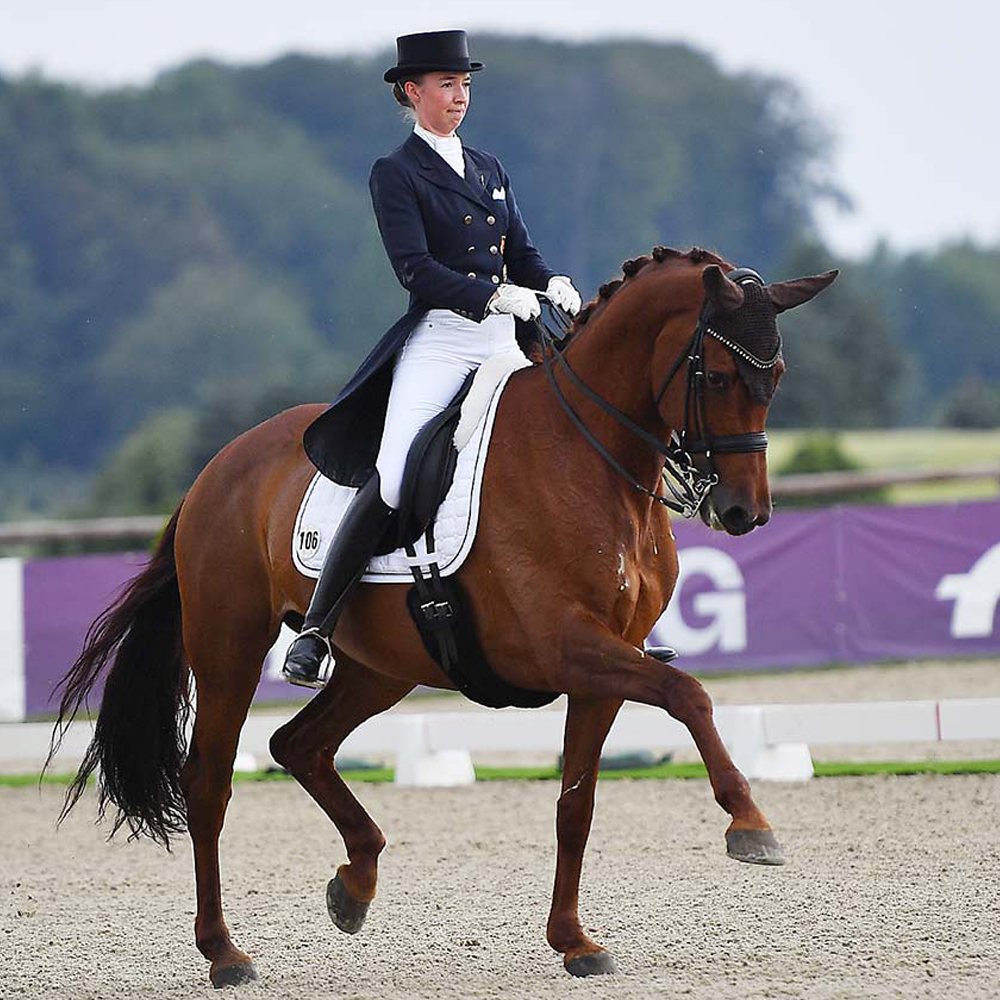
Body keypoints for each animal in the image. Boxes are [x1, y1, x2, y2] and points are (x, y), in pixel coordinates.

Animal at [50, 244, 840, 984]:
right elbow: (688, 694)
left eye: (778, 376)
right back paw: (224, 952)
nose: (743, 512)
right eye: (719, 376)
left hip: (380, 668)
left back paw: (355, 883)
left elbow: (576, 805)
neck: (590, 456)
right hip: (229, 651)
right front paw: (751, 825)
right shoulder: (567, 646)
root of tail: (217, 468)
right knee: (210, 782)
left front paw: (574, 942)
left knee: (298, 746)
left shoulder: (603, 665)